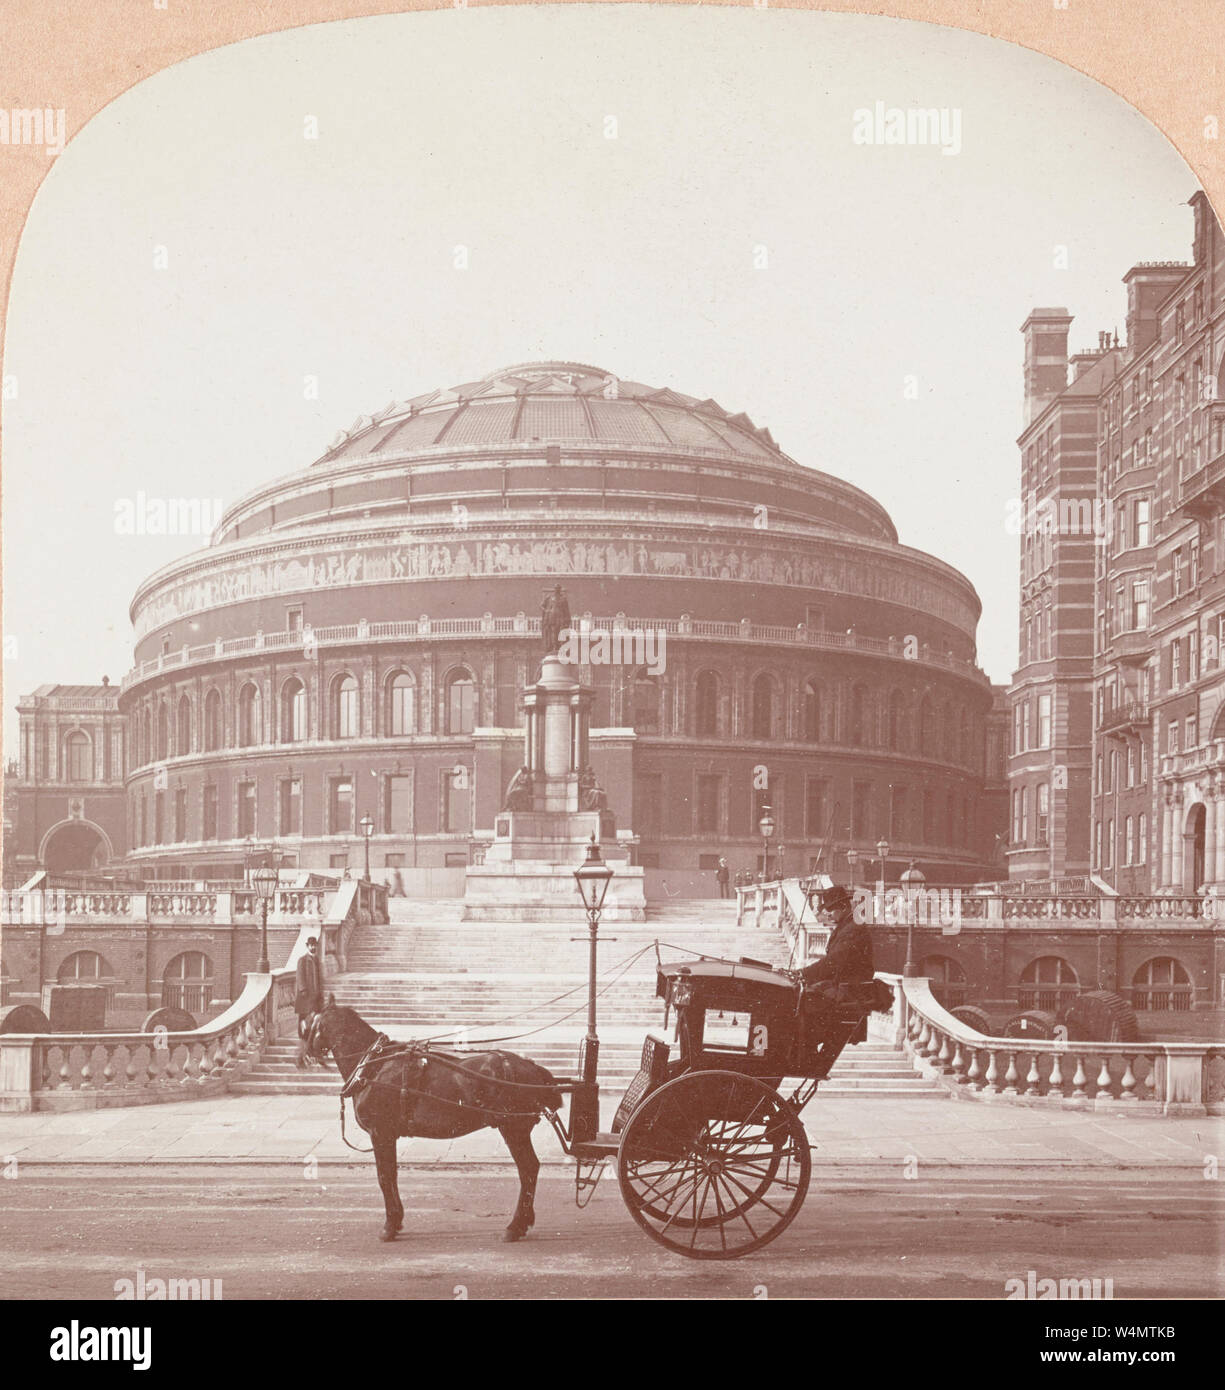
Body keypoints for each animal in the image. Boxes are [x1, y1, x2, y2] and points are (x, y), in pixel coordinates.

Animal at [303, 1000, 561, 1251]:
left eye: (310, 1024)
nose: (303, 1056)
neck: (374, 1066)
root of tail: (531, 1066)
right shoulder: (389, 1135)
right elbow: (392, 1175)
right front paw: (396, 1221)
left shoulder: (381, 1133)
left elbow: (384, 1177)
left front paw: (389, 1226)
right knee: (530, 1168)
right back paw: (524, 1221)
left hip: (513, 1128)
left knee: (527, 1169)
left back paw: (515, 1226)